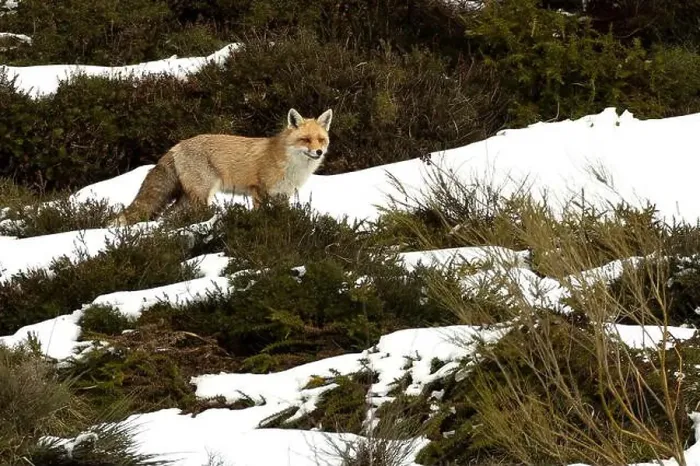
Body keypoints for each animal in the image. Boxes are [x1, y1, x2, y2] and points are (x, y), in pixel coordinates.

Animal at [111, 108, 333, 225]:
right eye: (305, 140)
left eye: (321, 140)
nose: (318, 152)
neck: (289, 165)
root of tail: (176, 146)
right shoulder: (258, 191)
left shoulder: (282, 196)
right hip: (203, 194)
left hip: (187, 197)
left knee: (168, 215)